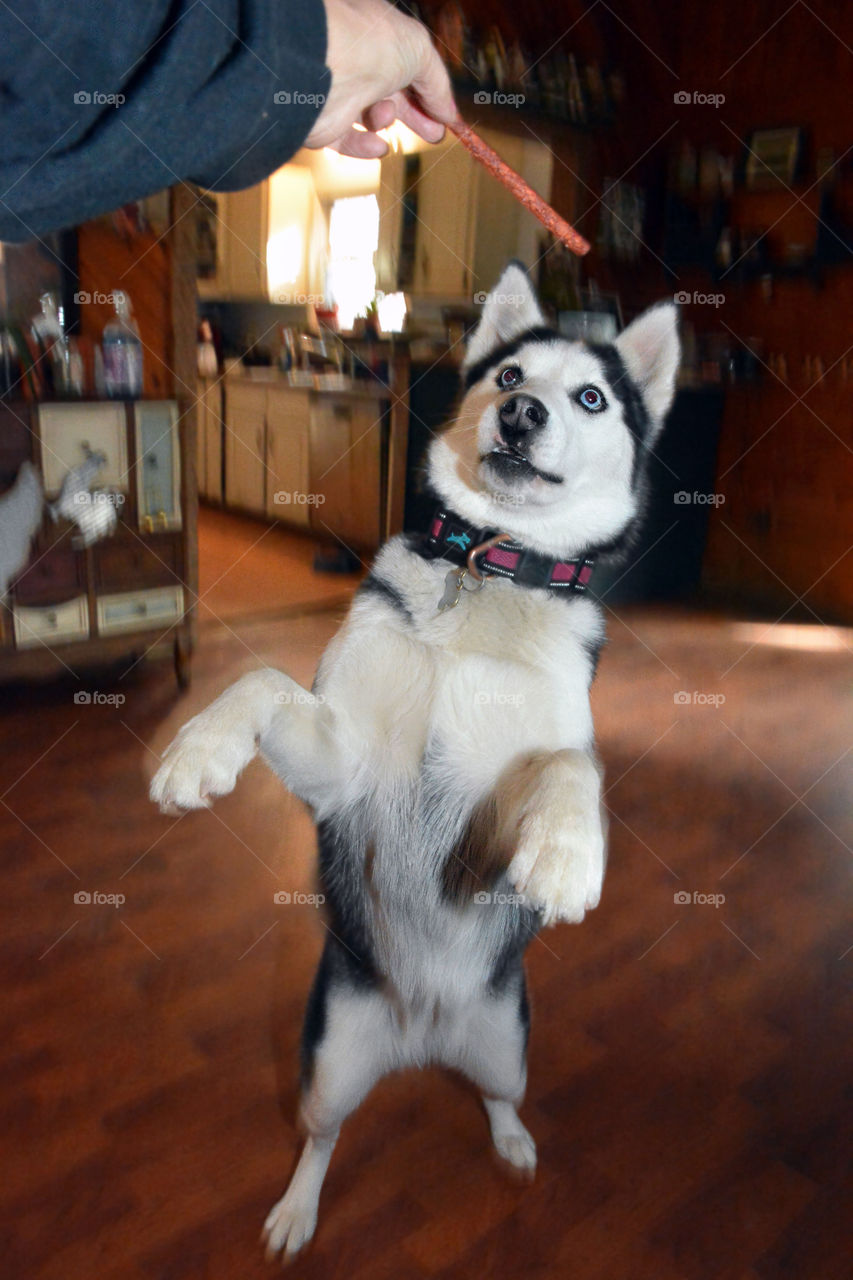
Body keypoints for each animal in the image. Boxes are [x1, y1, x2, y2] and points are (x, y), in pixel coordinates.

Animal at [147, 262, 676, 1259]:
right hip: (326, 1062)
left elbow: (570, 765)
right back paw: (297, 1209)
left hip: (508, 1044)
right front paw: (198, 748)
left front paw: (567, 851)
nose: (521, 415)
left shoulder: (494, 805)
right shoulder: (346, 766)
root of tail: (423, 1035)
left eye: (590, 396)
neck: (490, 574)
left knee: (498, 1097)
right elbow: (263, 680)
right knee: (321, 1137)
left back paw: (511, 1141)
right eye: (509, 377)